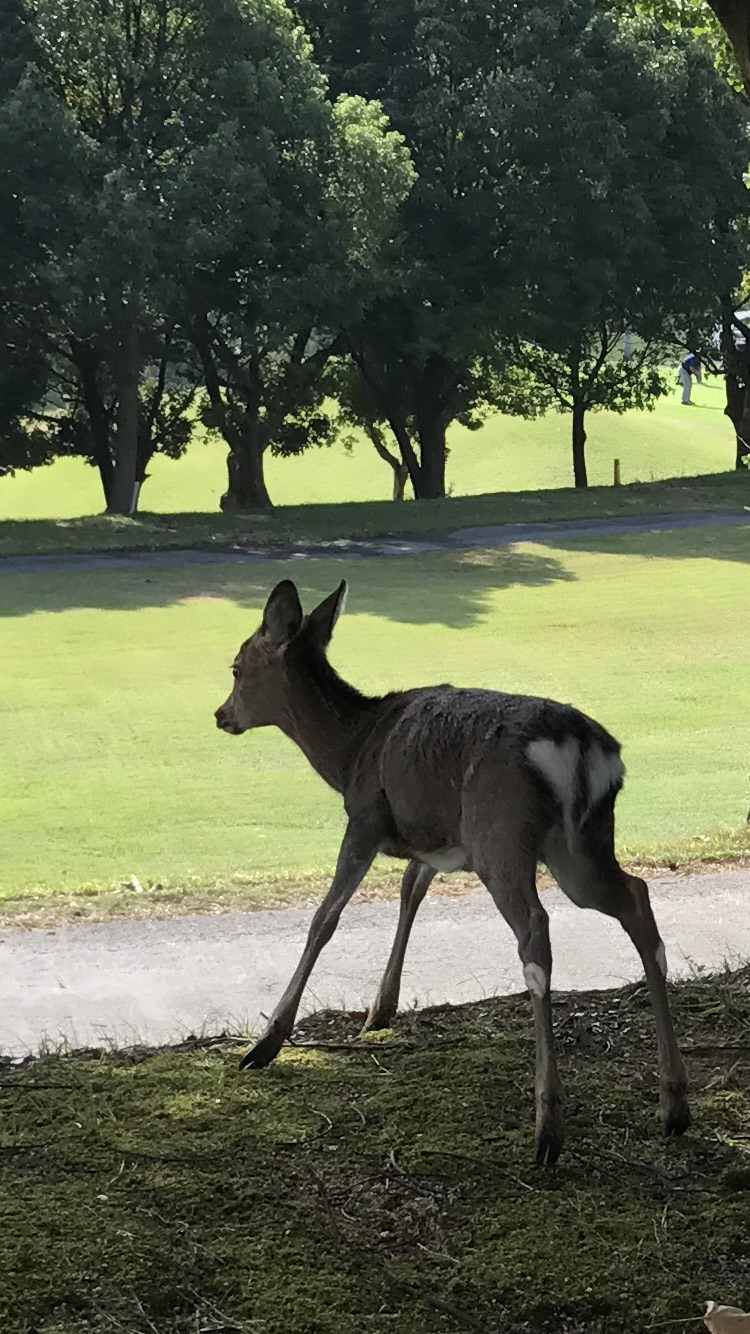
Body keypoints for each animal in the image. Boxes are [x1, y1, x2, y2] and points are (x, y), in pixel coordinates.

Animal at [213, 578, 688, 1163]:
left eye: (236, 667)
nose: (221, 715)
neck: (349, 752)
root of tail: (580, 749)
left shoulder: (365, 817)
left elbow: (325, 918)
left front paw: (265, 1043)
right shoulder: (436, 840)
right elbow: (409, 892)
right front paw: (380, 1010)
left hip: (499, 834)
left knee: (536, 930)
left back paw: (548, 1126)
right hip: (580, 844)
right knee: (637, 897)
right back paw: (673, 1104)